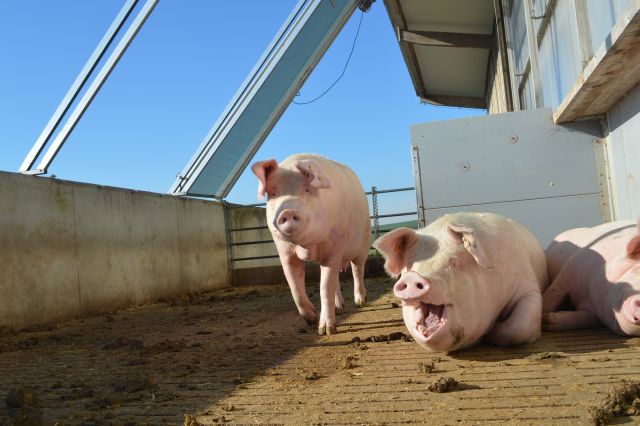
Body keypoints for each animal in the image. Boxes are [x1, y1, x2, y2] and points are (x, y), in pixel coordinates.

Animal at [251, 153, 371, 335]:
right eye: (273, 193)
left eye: (307, 190)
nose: (287, 212)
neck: (307, 247)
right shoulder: (285, 254)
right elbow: (295, 289)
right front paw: (311, 319)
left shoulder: (334, 248)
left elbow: (325, 287)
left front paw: (326, 330)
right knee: (337, 278)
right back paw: (339, 307)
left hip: (363, 242)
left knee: (358, 270)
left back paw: (360, 302)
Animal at [373, 212, 548, 352]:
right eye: (410, 267)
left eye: (453, 262)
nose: (413, 276)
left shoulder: (529, 288)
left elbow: (518, 328)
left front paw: (493, 333)